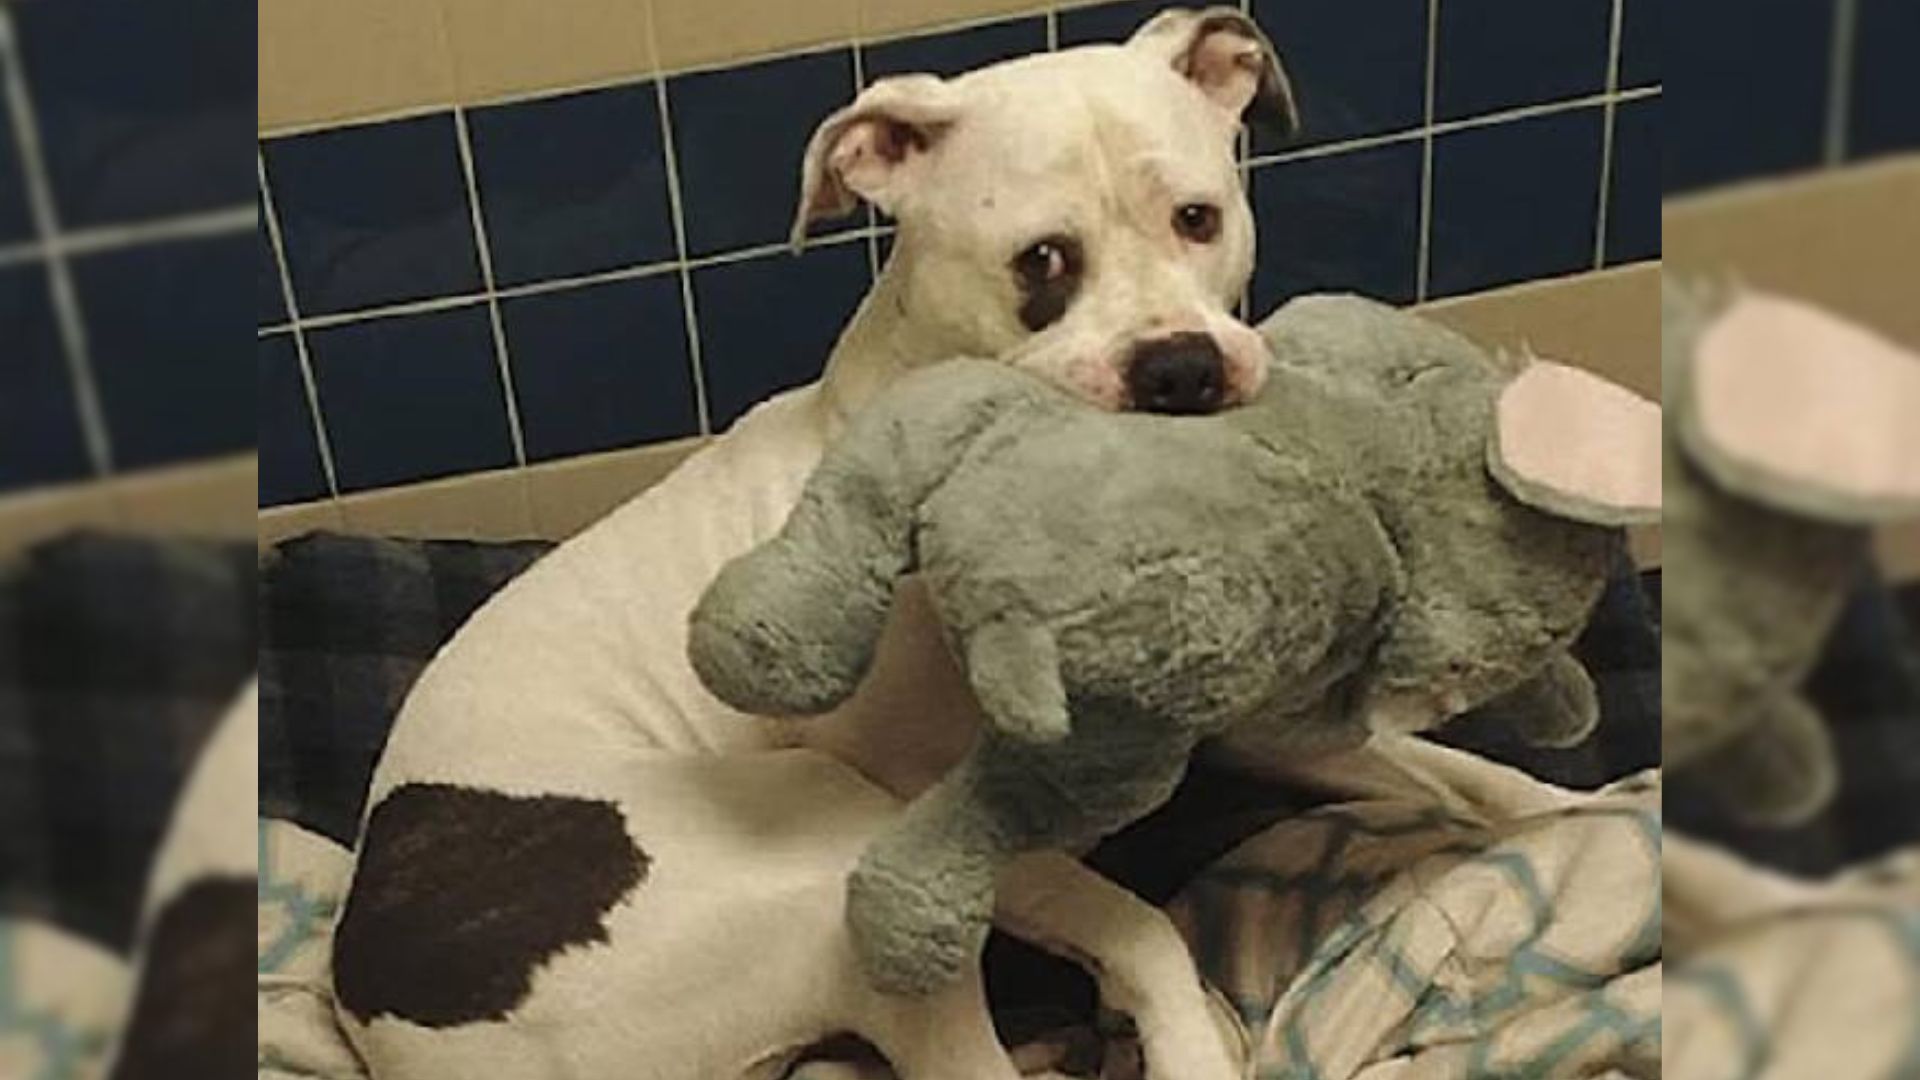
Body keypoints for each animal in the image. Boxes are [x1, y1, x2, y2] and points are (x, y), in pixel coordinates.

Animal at [337, 10, 1305, 1076]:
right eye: (1044, 259)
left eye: (1197, 218)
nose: (1182, 369)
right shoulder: (948, 822)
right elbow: (1131, 921)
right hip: (836, 848)